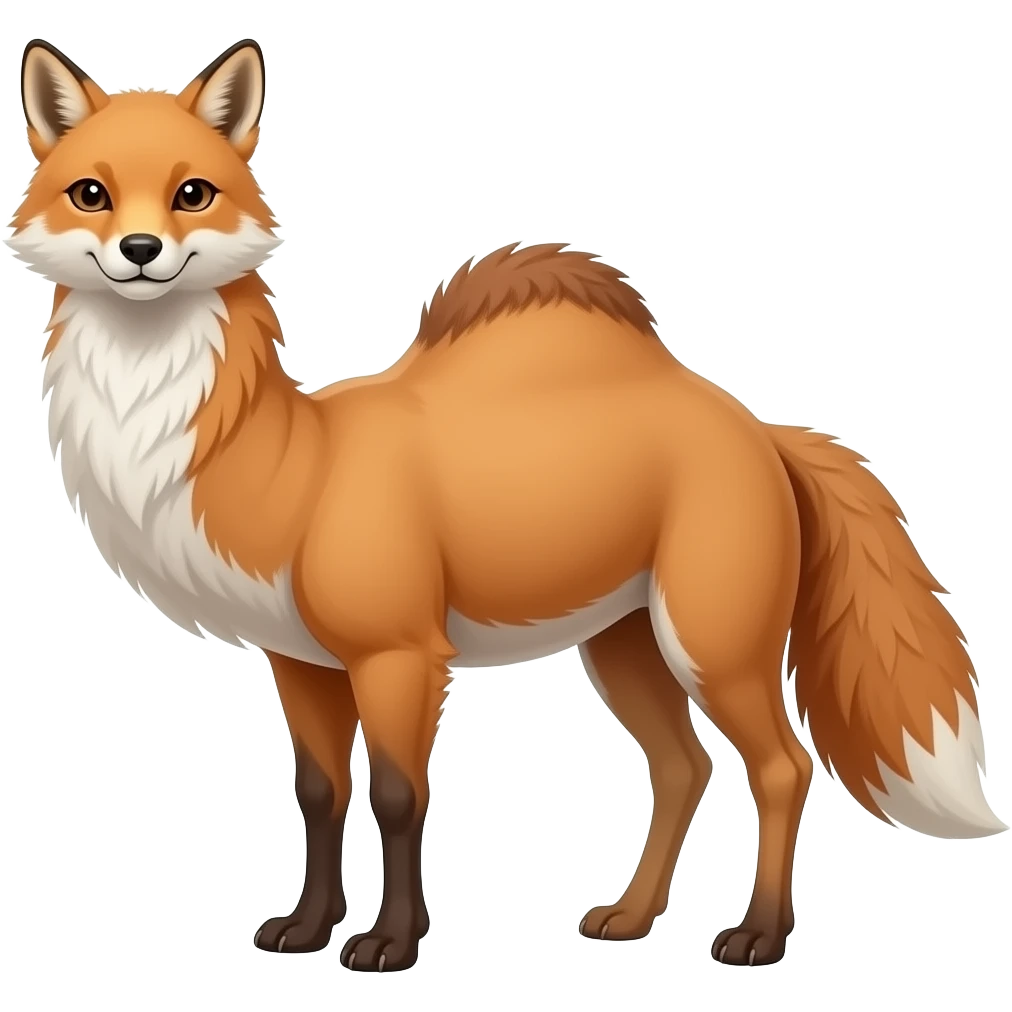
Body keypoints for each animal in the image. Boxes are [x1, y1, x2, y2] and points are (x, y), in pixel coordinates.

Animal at [9, 37, 1006, 975]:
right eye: (92, 193)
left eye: (193, 193)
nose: (142, 254)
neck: (293, 463)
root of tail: (756, 423)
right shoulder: (300, 663)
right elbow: (321, 795)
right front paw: (306, 928)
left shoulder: (401, 654)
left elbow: (401, 798)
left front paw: (391, 942)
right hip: (625, 646)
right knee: (685, 769)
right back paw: (631, 918)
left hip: (712, 643)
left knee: (781, 766)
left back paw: (759, 933)